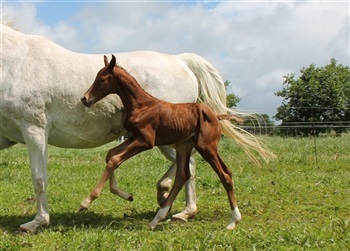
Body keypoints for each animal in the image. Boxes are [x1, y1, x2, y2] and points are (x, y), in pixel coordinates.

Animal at [80, 55, 242, 229]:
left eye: (102, 79)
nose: (85, 98)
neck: (141, 105)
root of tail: (216, 116)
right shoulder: (134, 137)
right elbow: (110, 154)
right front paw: (127, 195)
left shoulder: (146, 141)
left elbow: (114, 160)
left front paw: (86, 202)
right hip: (184, 145)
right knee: (182, 175)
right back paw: (157, 219)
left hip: (206, 146)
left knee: (224, 173)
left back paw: (233, 220)